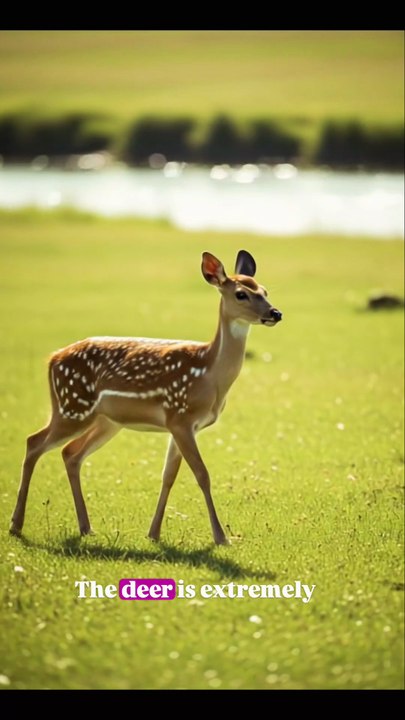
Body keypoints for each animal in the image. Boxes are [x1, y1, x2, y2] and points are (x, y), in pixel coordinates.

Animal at [10, 250, 282, 545]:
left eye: (265, 290)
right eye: (241, 294)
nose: (275, 313)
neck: (209, 373)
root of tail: (52, 359)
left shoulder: (183, 425)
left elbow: (169, 476)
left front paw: (153, 533)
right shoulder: (180, 416)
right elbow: (202, 474)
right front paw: (221, 537)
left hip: (105, 420)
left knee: (70, 453)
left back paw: (86, 527)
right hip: (72, 406)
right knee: (34, 442)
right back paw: (16, 525)